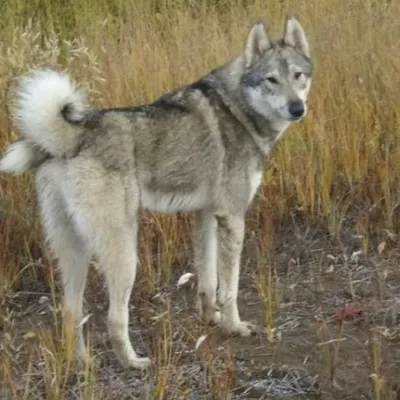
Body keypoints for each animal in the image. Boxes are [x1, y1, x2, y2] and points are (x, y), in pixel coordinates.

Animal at [0, 17, 312, 370]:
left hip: (74, 251)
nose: (297, 108)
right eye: (272, 79)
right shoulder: (232, 218)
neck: (237, 109)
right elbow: (229, 287)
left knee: (70, 312)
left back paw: (82, 362)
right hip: (124, 254)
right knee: (113, 318)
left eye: (297, 75)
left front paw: (211, 320)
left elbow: (207, 281)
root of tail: (72, 136)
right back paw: (134, 362)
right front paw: (234, 326)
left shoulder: (205, 216)